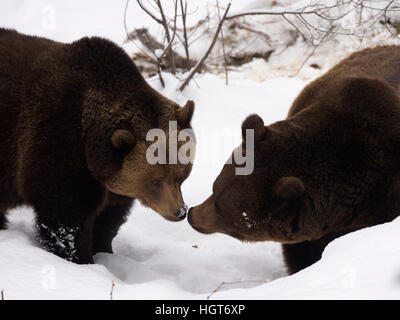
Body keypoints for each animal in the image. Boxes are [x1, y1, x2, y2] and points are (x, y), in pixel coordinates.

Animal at [0, 28, 195, 262]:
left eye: (181, 175)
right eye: (155, 181)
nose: (180, 211)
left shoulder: (111, 182)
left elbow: (109, 218)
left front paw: (104, 249)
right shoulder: (56, 140)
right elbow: (66, 216)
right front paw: (80, 258)